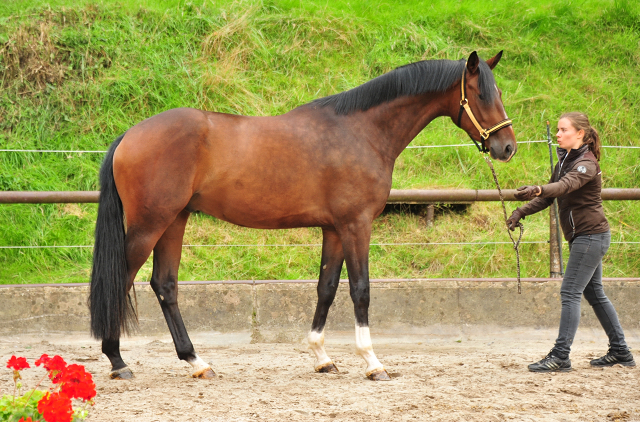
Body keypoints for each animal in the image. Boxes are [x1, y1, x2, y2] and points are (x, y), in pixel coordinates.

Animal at [89, 51, 516, 380]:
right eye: (480, 94)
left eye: (498, 92)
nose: (507, 146)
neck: (360, 131)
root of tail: (129, 136)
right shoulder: (357, 225)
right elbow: (360, 290)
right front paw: (372, 363)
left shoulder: (334, 229)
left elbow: (326, 288)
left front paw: (322, 357)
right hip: (150, 225)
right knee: (121, 279)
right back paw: (117, 361)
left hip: (174, 221)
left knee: (165, 285)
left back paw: (197, 362)